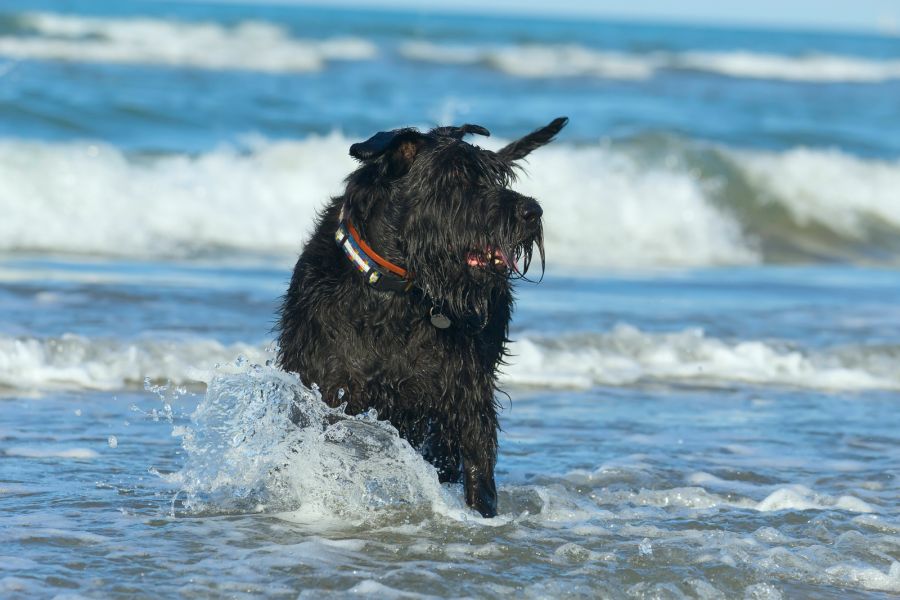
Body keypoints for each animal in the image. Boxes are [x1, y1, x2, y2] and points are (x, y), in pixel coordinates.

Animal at [278, 117, 568, 516]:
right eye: (455, 179)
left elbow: (478, 461)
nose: (532, 211)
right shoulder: (327, 386)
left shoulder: (465, 394)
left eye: (497, 176)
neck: (392, 293)